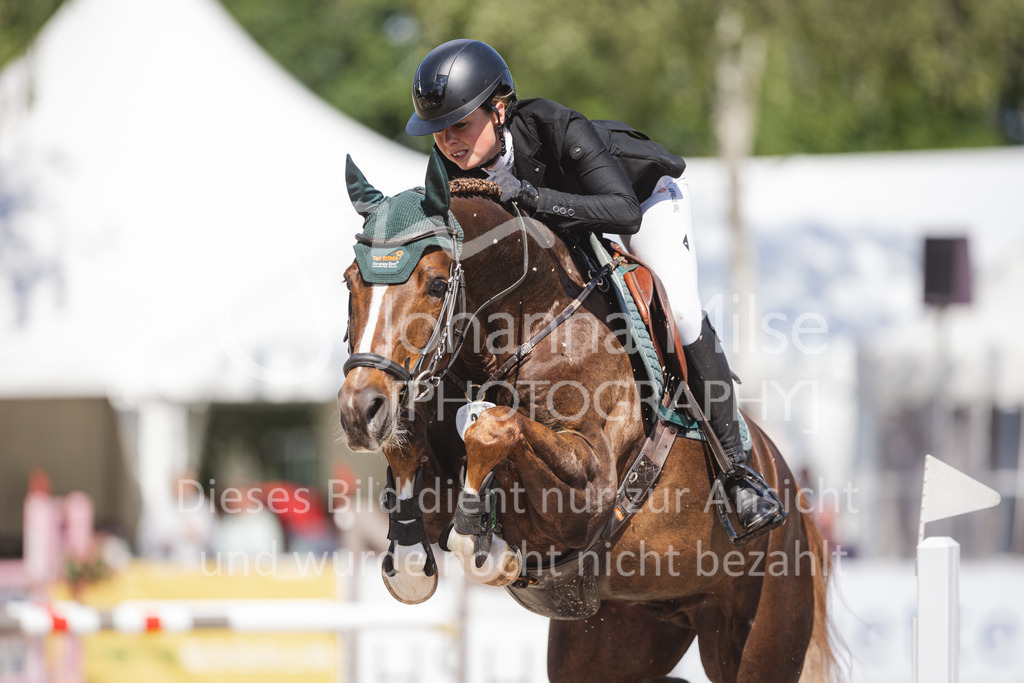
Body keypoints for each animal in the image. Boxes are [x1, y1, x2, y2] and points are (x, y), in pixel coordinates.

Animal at [337, 151, 840, 683]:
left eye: (435, 285)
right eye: (349, 281)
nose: (359, 410)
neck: (528, 323)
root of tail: (794, 498)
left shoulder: (589, 492)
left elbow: (495, 426)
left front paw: (480, 537)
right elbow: (410, 451)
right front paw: (410, 556)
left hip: (760, 630)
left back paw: (749, 495)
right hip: (618, 632)